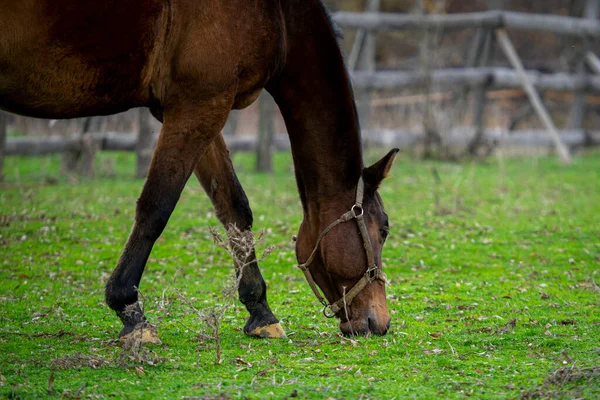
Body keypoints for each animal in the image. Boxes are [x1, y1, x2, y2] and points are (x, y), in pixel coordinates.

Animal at [1, 0, 398, 340]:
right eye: (383, 230)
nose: (380, 322)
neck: (278, 12)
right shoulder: (200, 103)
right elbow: (156, 207)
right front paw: (130, 311)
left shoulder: (200, 106)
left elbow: (235, 208)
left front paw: (260, 311)